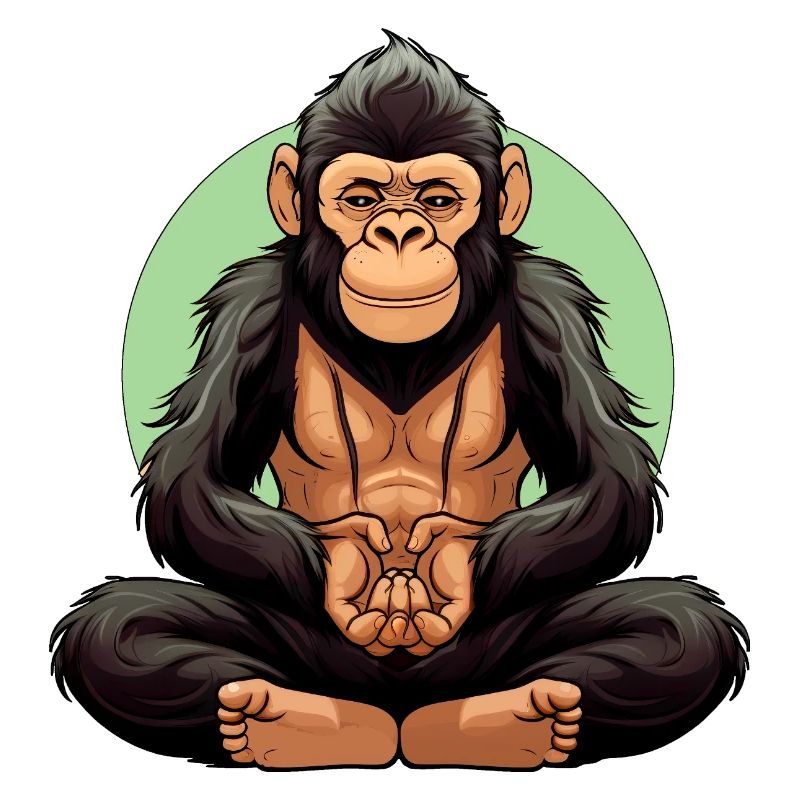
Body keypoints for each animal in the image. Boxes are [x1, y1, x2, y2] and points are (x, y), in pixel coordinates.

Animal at [50, 32, 748, 770]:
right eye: (360, 200)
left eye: (438, 201)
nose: (399, 234)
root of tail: (399, 713)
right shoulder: (250, 308)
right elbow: (189, 481)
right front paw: (349, 562)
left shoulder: (549, 309)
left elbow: (610, 480)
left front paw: (449, 562)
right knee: (119, 625)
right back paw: (288, 716)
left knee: (679, 625)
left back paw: (508, 717)